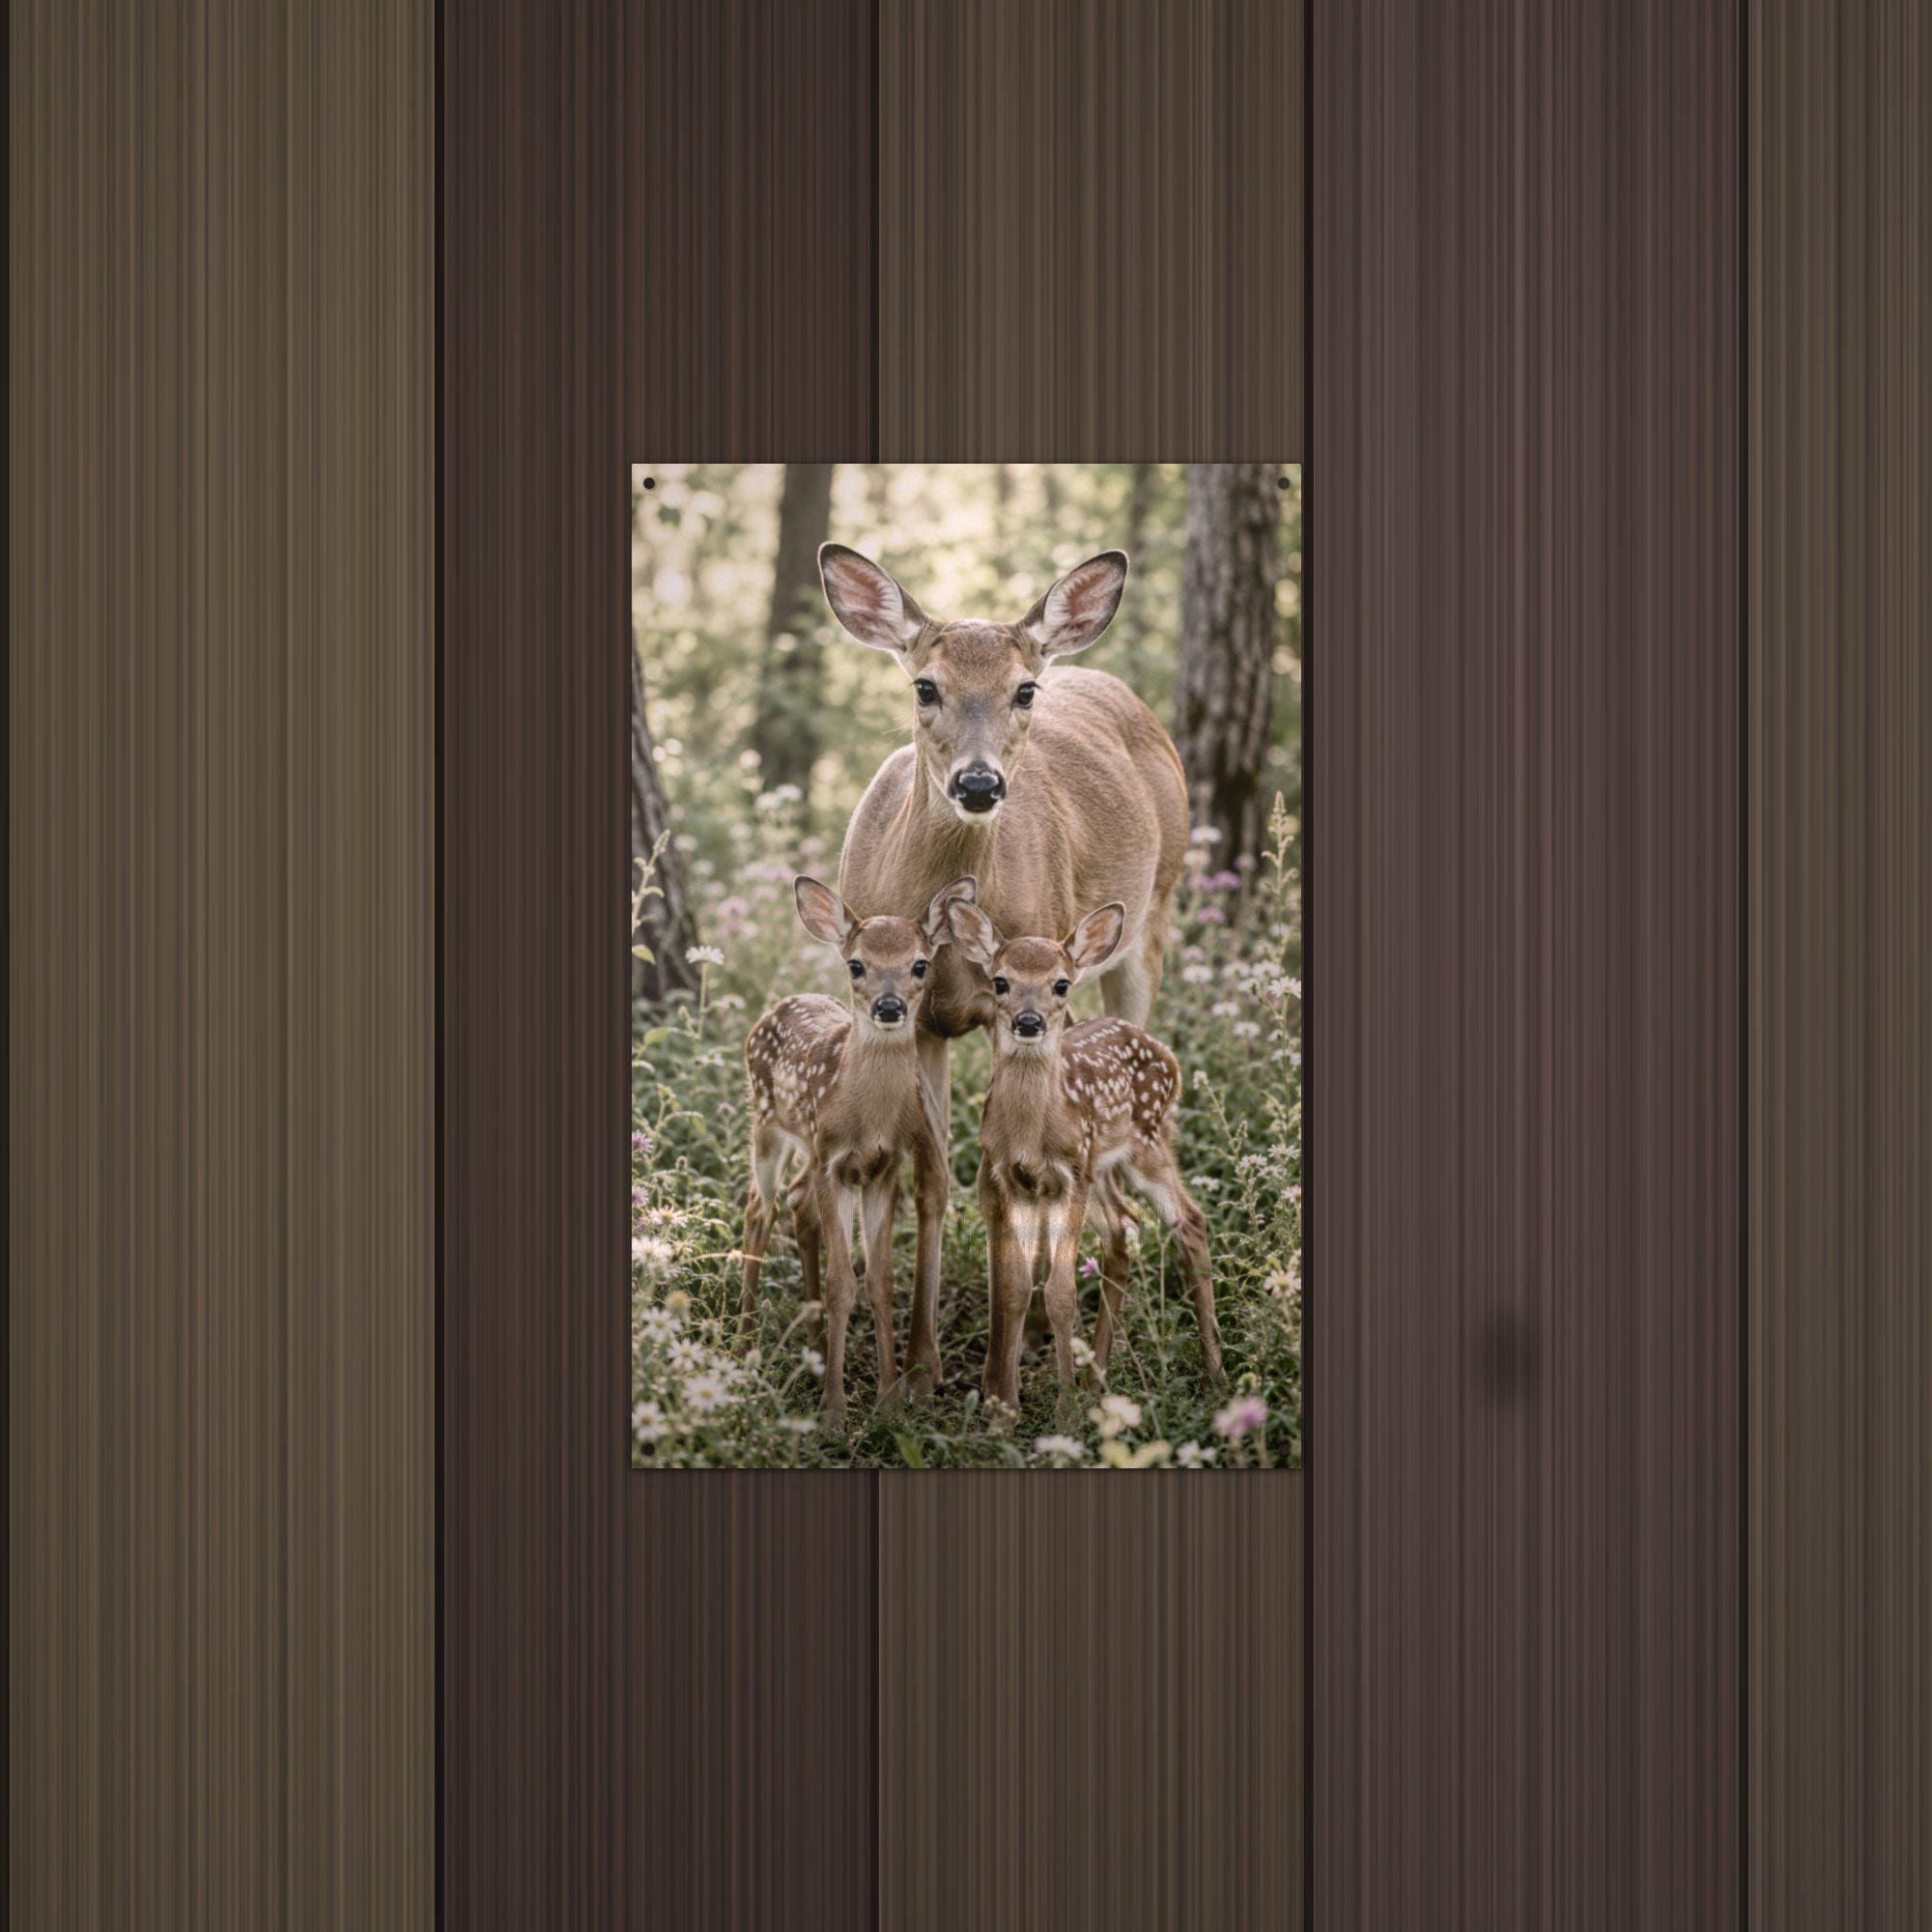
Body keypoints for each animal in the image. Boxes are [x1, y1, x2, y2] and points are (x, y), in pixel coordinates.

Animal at [739, 873, 974, 1431]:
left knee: (796, 1203)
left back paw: (815, 1347)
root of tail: (778, 1004)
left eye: (920, 964)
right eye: (856, 964)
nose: (889, 1008)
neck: (867, 1117)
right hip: (768, 1125)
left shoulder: (881, 1168)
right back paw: (740, 1346)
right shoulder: (833, 1163)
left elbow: (881, 1280)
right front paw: (833, 1412)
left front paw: (889, 1402)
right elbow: (842, 1282)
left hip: (807, 1145)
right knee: (760, 1208)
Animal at [818, 543, 1191, 1370]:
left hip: (1153, 915)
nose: (981, 783)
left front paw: (1001, 1359)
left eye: (1023, 690)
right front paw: (919, 1365)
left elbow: (1001, 1185)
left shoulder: (1013, 1003)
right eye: (925, 685)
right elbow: (932, 1181)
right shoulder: (918, 1018)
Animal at [944, 895, 1225, 1418]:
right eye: (1000, 981)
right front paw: (1005, 1412)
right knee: (1124, 1228)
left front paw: (1065, 1411)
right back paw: (1098, 1379)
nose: (1028, 1022)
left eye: (1061, 983)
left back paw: (1214, 1375)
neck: (1032, 1134)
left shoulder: (1068, 1177)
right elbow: (1015, 1289)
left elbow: (1060, 1292)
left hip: (1145, 1145)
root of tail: (1168, 1056)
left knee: (1189, 1220)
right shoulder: (1013, 1181)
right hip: (1100, 1171)